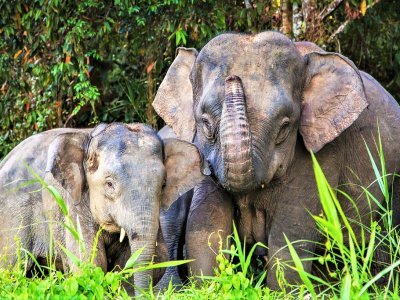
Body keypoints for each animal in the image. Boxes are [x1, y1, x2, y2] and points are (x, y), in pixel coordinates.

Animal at [152, 31, 400, 288]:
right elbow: (206, 226)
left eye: (284, 127)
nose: (233, 78)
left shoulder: (322, 154)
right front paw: (210, 287)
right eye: (206, 124)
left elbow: (291, 236)